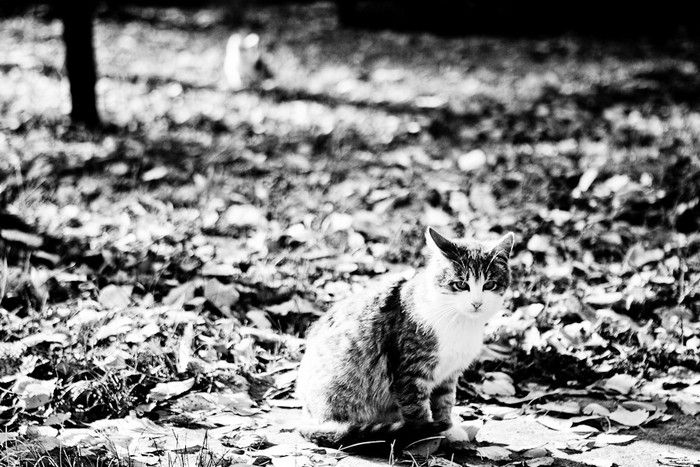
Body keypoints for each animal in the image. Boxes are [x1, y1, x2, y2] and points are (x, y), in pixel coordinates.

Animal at [296, 229, 516, 452]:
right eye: (461, 284)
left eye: (489, 285)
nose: (477, 303)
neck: (458, 321)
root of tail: (307, 417)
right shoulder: (409, 372)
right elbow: (417, 410)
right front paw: (424, 438)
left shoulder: (449, 374)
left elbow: (444, 402)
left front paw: (449, 429)